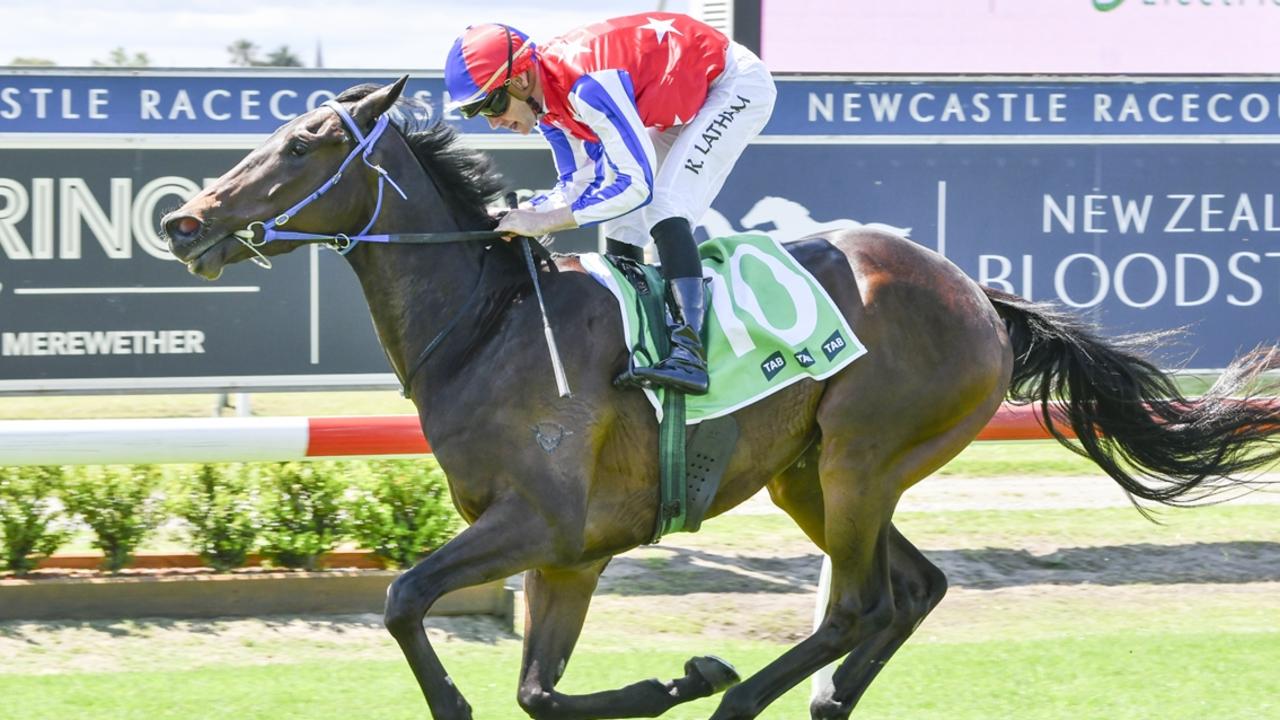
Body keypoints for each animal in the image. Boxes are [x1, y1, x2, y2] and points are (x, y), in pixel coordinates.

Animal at [162, 75, 1280, 712]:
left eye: (301, 144)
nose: (184, 220)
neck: (491, 324)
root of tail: (977, 294)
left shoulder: (540, 524)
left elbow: (402, 601)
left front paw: (687, 678)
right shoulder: (567, 556)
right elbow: (535, 689)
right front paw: (668, 678)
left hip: (861, 459)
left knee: (857, 604)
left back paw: (745, 702)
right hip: (814, 477)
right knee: (911, 590)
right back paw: (822, 703)